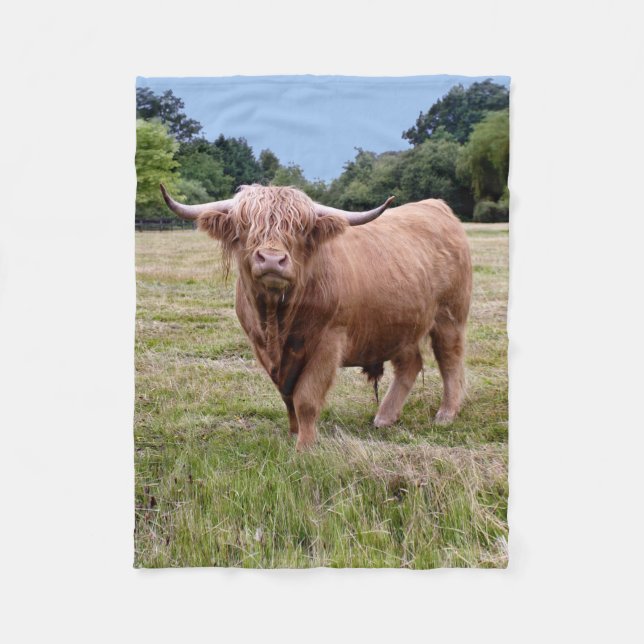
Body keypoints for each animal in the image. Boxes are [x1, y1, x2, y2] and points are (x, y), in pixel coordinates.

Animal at [160, 183, 472, 451]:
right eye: (245, 225)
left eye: (300, 228)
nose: (272, 260)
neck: (277, 320)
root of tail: (437, 206)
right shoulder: (262, 347)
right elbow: (287, 396)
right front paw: (293, 432)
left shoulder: (328, 343)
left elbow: (306, 398)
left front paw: (305, 446)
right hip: (399, 323)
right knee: (410, 364)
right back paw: (385, 417)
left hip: (449, 317)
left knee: (450, 360)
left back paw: (446, 414)